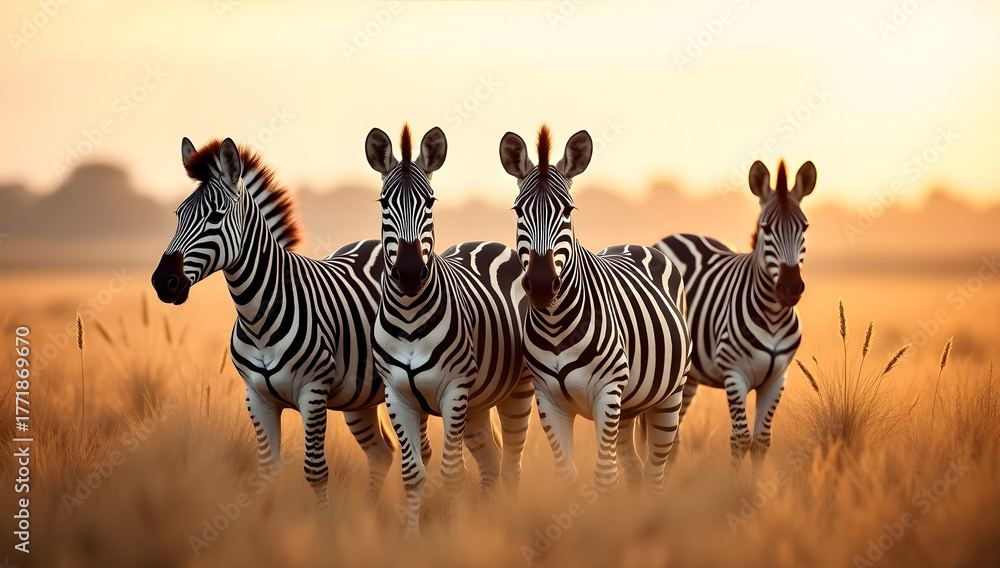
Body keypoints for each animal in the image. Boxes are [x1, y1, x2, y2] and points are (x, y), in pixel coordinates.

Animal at [150, 137, 407, 510]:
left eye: (215, 217)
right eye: (178, 215)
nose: (162, 282)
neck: (258, 319)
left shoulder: (313, 392)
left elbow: (316, 471)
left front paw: (324, 523)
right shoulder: (257, 397)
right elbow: (267, 471)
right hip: (359, 397)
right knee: (381, 452)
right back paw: (371, 513)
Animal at [365, 125, 534, 537]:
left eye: (429, 202)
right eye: (383, 203)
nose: (411, 273)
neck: (410, 318)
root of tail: (489, 243)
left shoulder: (454, 390)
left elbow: (453, 473)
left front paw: (457, 536)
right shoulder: (397, 395)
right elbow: (413, 472)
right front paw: (411, 537)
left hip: (515, 391)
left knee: (511, 465)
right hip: (477, 403)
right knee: (491, 461)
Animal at [499, 126, 691, 494]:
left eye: (568, 210)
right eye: (517, 211)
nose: (542, 284)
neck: (555, 324)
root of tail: (635, 244)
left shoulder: (607, 392)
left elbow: (605, 477)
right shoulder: (549, 401)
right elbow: (567, 475)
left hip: (669, 396)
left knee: (654, 472)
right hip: (629, 406)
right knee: (634, 466)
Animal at [654, 159, 816, 473]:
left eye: (804, 227)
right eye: (766, 228)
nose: (790, 288)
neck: (773, 316)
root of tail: (674, 237)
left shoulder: (776, 379)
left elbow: (762, 441)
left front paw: (754, 487)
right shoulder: (734, 374)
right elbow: (740, 439)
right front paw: (735, 486)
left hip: (690, 376)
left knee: (674, 433)